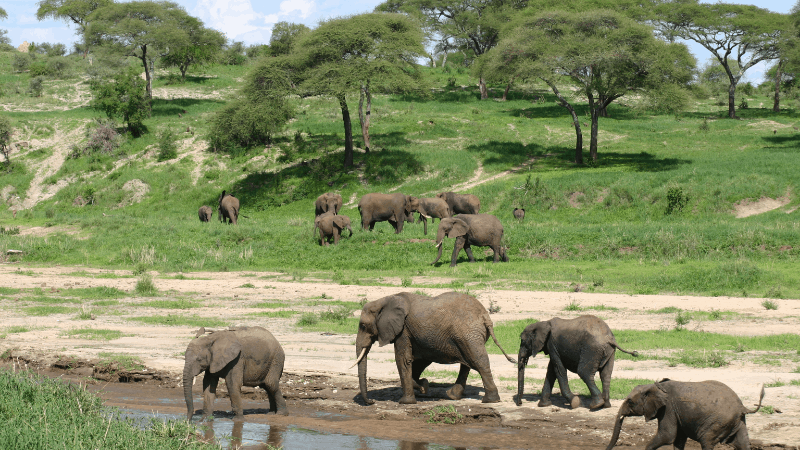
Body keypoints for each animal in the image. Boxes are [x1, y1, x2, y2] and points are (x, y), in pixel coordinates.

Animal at [352, 290, 516, 406]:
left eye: (363, 326)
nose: (372, 402)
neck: (384, 300)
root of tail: (485, 316)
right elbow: (419, 360)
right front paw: (423, 386)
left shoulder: (403, 330)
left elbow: (403, 359)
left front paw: (406, 401)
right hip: (469, 335)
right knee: (468, 363)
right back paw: (452, 396)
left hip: (468, 333)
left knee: (478, 361)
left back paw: (490, 400)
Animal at [608, 380, 764, 450]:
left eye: (630, 401)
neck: (656, 386)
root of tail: (742, 406)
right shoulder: (677, 413)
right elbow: (678, 440)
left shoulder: (668, 409)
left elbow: (667, 435)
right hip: (738, 421)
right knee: (742, 443)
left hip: (718, 422)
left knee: (706, 441)